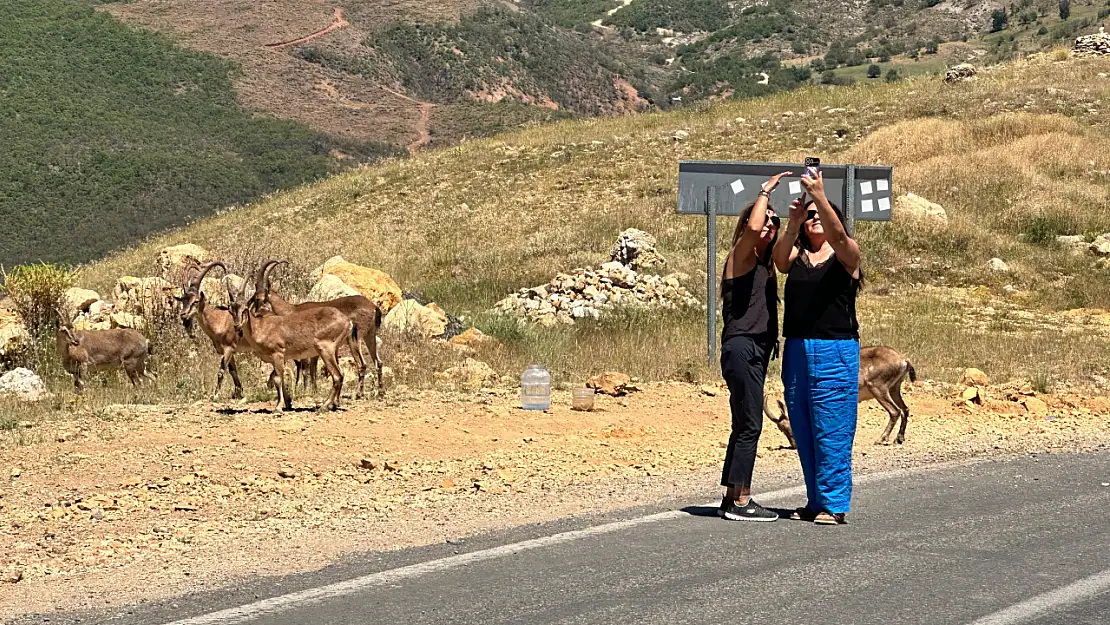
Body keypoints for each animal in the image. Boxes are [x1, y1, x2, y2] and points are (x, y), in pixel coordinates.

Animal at [176, 263, 250, 401]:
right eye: (183, 300)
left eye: (195, 301)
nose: (183, 314)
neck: (219, 321)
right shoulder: (228, 351)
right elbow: (233, 371)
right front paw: (238, 393)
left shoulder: (228, 349)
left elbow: (221, 371)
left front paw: (215, 395)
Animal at [231, 261, 352, 412]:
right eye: (231, 309)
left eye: (245, 309)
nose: (237, 325)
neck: (260, 328)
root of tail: (347, 321)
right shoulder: (279, 359)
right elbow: (279, 377)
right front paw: (288, 403)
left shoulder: (278, 354)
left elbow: (278, 378)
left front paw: (278, 407)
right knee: (340, 374)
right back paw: (333, 404)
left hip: (325, 350)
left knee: (337, 375)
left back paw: (324, 405)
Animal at [255, 260, 386, 399]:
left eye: (257, 299)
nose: (255, 314)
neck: (292, 310)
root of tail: (374, 307)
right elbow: (312, 369)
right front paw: (314, 390)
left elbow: (306, 369)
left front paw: (306, 390)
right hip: (370, 335)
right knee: (378, 362)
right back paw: (381, 392)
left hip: (356, 339)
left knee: (362, 364)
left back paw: (358, 394)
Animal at [763, 344, 919, 448]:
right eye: (781, 429)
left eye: (787, 427)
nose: (795, 445)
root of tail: (903, 360)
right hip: (894, 388)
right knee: (905, 409)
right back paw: (899, 438)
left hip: (879, 388)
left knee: (895, 411)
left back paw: (881, 439)